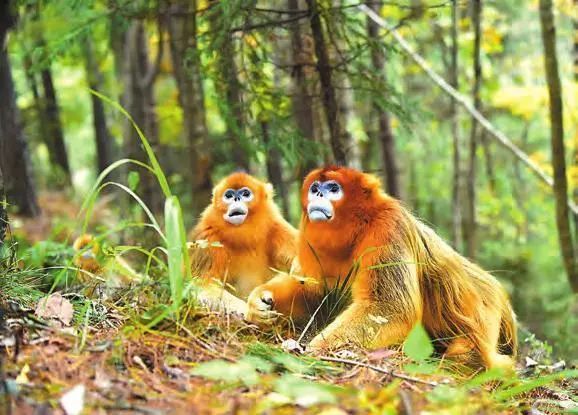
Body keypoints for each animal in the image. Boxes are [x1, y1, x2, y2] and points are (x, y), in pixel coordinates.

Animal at [190, 174, 296, 316]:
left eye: (246, 193)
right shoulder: (208, 238)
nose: (236, 198)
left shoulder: (276, 227)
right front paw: (250, 310)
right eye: (228, 195)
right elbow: (202, 285)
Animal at [245, 167, 516, 368]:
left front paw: (317, 350)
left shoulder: (387, 228)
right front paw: (261, 300)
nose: (318, 195)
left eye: (333, 189)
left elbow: (390, 308)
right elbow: (316, 294)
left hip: (488, 315)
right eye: (314, 189)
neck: (360, 226)